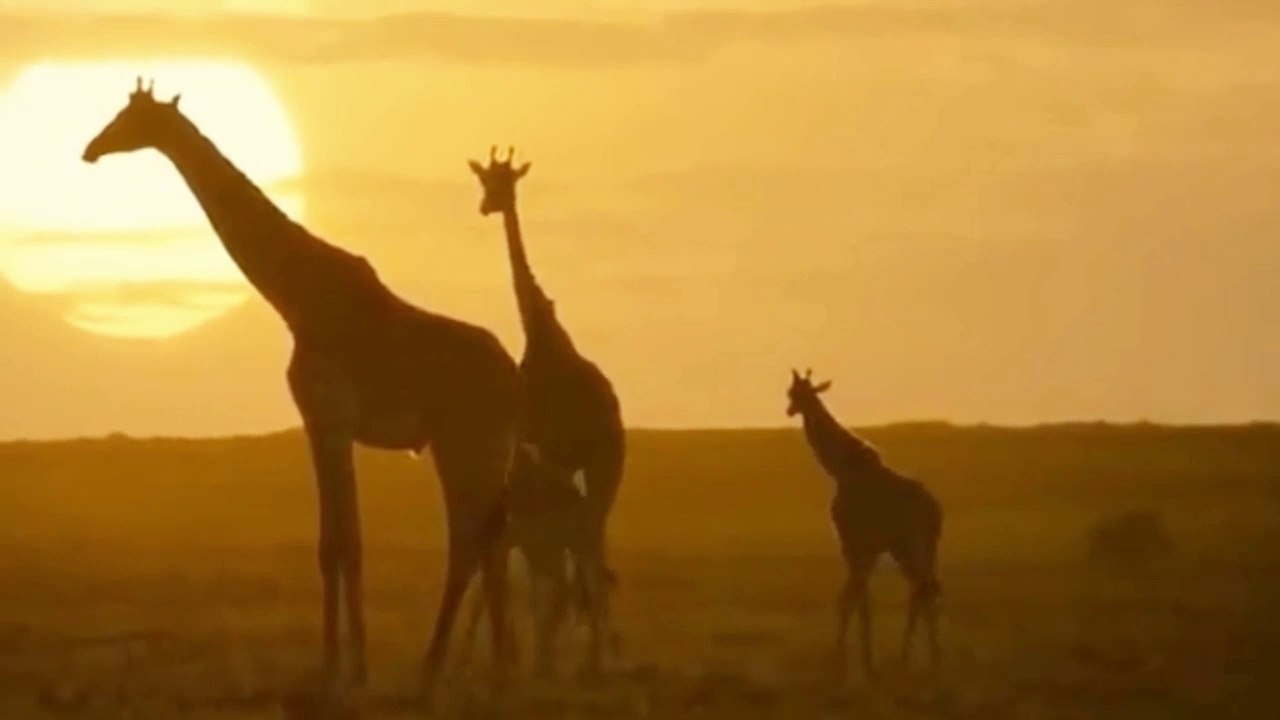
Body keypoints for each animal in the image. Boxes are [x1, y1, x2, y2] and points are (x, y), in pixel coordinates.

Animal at [81, 79, 521, 696]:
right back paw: (494, 668)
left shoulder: (333, 420)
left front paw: (354, 669)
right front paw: (333, 661)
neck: (297, 298)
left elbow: (350, 544)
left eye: (131, 117)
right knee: (489, 539)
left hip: (466, 445)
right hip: (475, 449)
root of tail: (513, 379)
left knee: (470, 539)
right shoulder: (316, 424)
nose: (91, 149)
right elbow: (328, 545)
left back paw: (440, 666)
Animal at [468, 147, 625, 676]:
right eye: (486, 181)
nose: (486, 206)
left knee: (586, 551)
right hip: (593, 474)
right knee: (590, 548)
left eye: (505, 182)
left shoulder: (537, 438)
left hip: (597, 468)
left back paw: (587, 659)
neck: (537, 330)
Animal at [786, 369, 943, 680]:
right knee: (922, 590)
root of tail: (935, 510)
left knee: (925, 589)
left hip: (914, 545)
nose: (790, 410)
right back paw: (914, 660)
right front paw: (865, 660)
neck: (840, 469)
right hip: (909, 549)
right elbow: (860, 598)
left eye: (802, 393)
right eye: (791, 391)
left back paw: (926, 660)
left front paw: (844, 661)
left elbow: (850, 598)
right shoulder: (869, 547)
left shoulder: (852, 543)